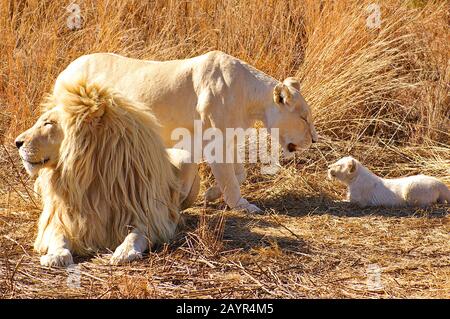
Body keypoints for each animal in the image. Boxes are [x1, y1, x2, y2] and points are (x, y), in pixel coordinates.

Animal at [15, 78, 199, 268]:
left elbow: (136, 235)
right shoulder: (60, 217)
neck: (91, 174)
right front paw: (56, 256)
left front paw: (124, 253)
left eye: (48, 123)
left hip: (186, 160)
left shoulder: (149, 217)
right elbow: (58, 236)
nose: (17, 143)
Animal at [52, 51, 318, 214]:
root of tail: (63, 72)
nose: (314, 140)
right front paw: (243, 206)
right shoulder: (215, 142)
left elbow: (238, 174)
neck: (251, 100)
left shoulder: (229, 139)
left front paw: (210, 194)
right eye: (304, 118)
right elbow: (230, 179)